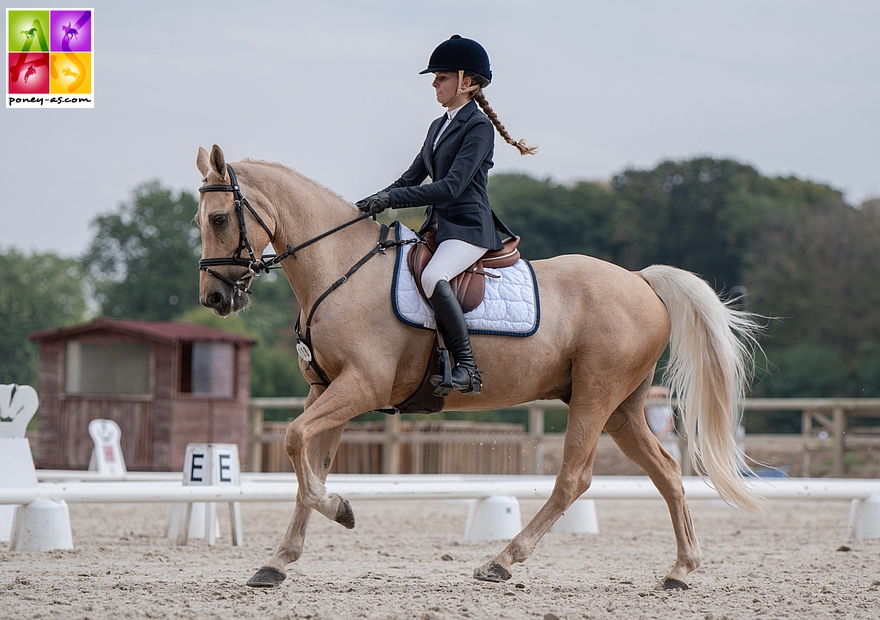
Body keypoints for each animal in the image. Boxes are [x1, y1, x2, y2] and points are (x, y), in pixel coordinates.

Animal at [196, 144, 760, 592]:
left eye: (219, 219)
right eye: (199, 221)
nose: (215, 299)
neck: (340, 269)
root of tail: (642, 280)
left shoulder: (361, 387)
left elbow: (295, 443)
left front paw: (341, 510)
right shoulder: (327, 391)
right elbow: (308, 463)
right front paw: (278, 562)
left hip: (596, 395)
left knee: (574, 479)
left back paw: (501, 561)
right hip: (622, 408)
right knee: (666, 472)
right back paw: (680, 570)